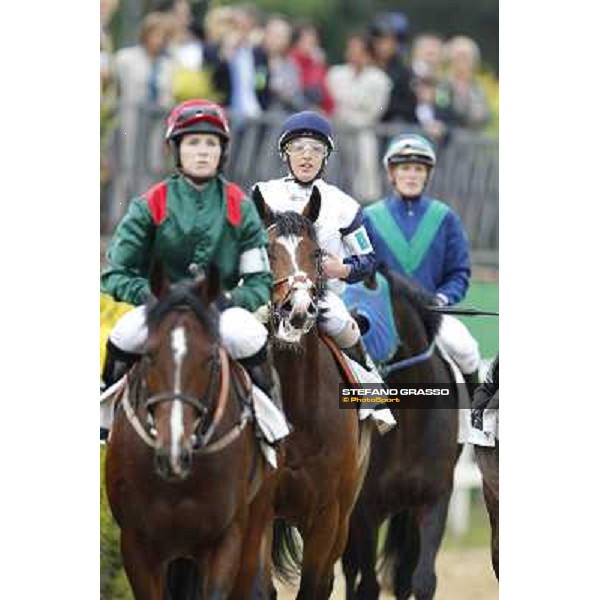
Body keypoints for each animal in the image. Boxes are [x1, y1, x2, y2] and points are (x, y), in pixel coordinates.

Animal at [105, 268, 276, 600]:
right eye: (148, 355)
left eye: (211, 359)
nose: (173, 455)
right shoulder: (136, 543)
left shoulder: (226, 539)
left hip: (256, 519)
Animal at [252, 188, 370, 600]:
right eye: (266, 251)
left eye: (317, 253)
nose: (298, 308)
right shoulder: (260, 511)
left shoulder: (326, 517)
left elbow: (315, 586)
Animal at [340, 270, 462, 600]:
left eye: (360, 322)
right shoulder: (366, 509)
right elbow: (367, 585)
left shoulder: (433, 499)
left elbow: (421, 580)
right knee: (351, 569)